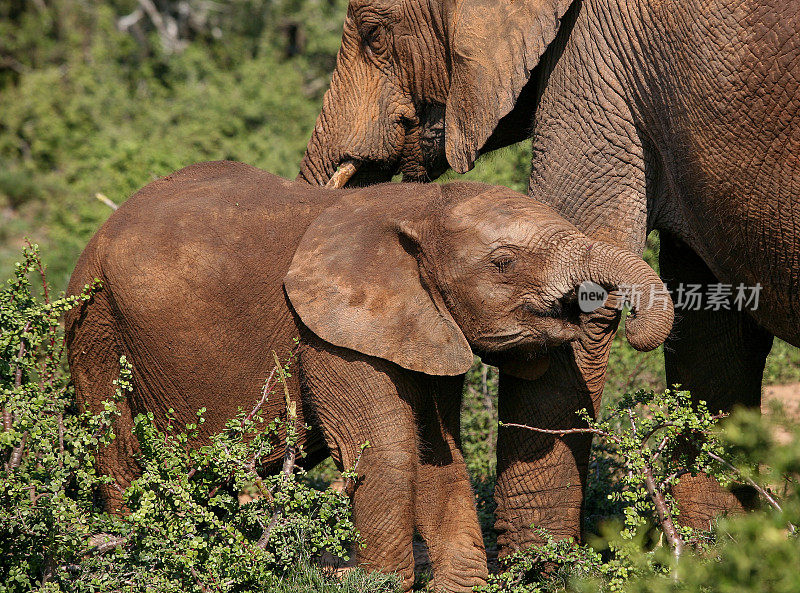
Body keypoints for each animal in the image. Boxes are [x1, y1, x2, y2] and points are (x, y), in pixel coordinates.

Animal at [65, 160, 672, 588]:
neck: (416, 206)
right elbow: (384, 443)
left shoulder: (426, 322)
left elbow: (436, 450)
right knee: (115, 447)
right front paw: (373, 582)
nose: (634, 326)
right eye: (503, 261)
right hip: (95, 322)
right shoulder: (326, 330)